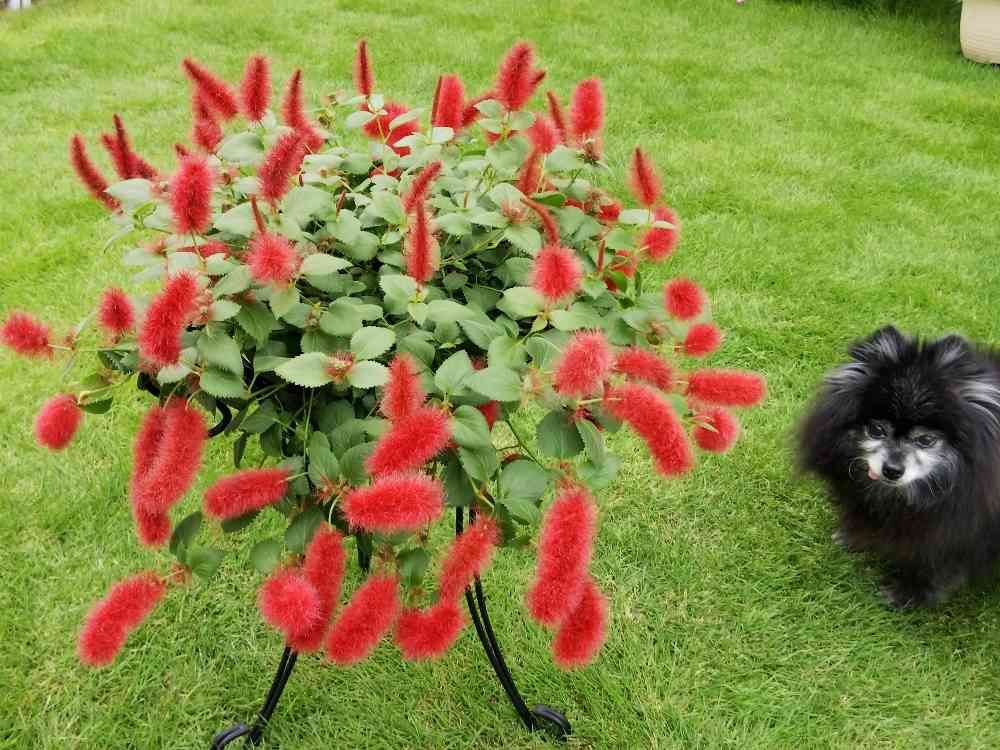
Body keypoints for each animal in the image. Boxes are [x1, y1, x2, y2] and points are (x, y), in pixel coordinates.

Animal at [798, 326, 1000, 609]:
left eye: (925, 440)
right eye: (877, 430)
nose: (892, 470)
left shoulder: (959, 529)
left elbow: (935, 565)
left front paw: (908, 594)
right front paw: (854, 536)